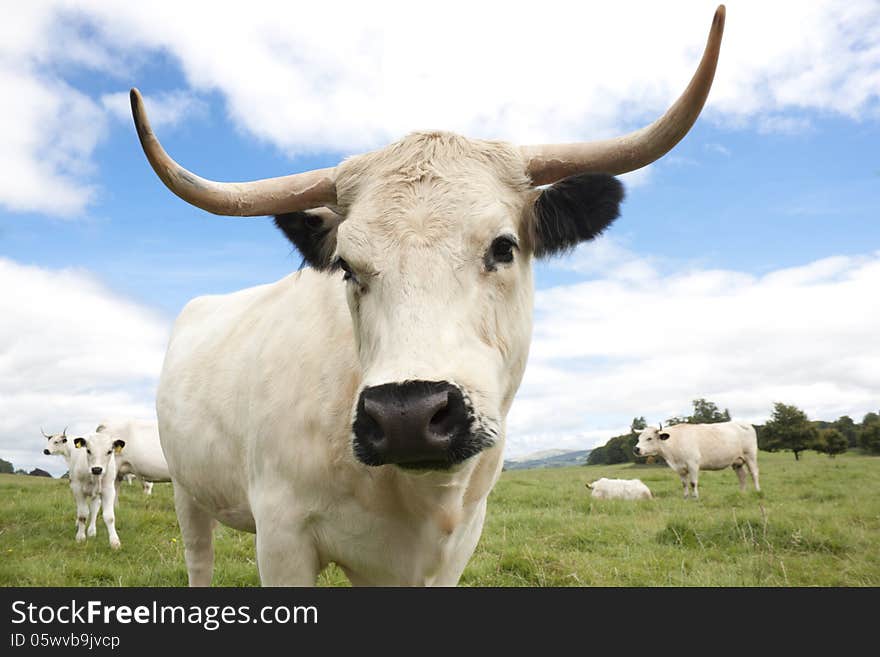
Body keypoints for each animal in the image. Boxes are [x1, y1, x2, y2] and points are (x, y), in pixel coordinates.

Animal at [632, 420, 764, 498]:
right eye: (639, 438)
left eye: (649, 438)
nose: (636, 449)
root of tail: (744, 423)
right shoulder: (679, 468)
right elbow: (684, 483)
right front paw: (686, 497)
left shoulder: (693, 464)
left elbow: (693, 482)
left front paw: (695, 497)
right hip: (737, 461)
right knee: (742, 475)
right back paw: (742, 493)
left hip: (750, 455)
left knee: (754, 473)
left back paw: (757, 491)